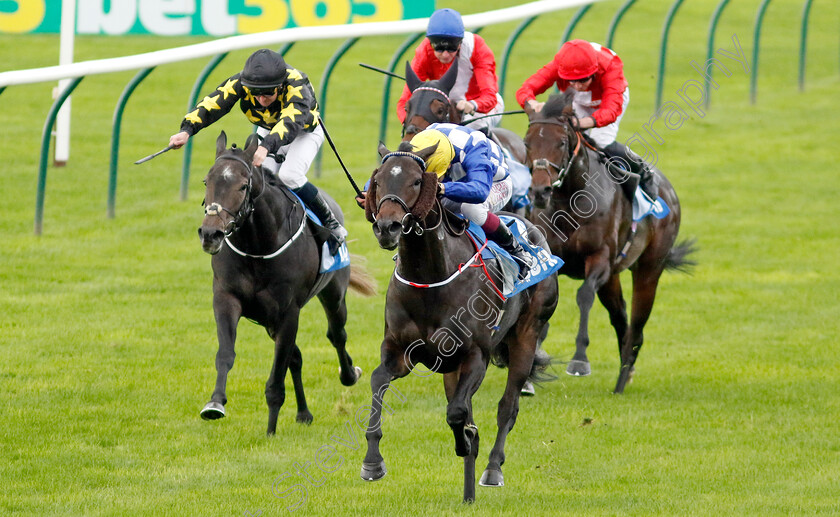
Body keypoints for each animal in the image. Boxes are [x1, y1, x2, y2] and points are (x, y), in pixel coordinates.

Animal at [199, 131, 376, 434]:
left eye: (243, 186)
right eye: (206, 182)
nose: (211, 234)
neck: (258, 245)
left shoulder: (288, 312)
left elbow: (276, 376)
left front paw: (270, 430)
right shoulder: (226, 299)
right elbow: (226, 353)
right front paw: (215, 403)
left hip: (333, 294)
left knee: (336, 335)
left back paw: (349, 374)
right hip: (269, 320)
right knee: (297, 356)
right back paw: (304, 413)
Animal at [360, 140, 556, 500]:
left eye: (416, 181)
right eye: (377, 180)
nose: (386, 227)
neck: (430, 279)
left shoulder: (475, 355)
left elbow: (457, 413)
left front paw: (467, 442)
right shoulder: (399, 352)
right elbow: (378, 381)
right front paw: (372, 462)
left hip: (526, 335)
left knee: (508, 406)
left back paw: (492, 468)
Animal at [524, 91, 696, 392]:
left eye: (560, 142)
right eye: (527, 143)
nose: (539, 192)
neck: (569, 200)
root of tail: (670, 192)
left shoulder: (600, 258)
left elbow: (583, 296)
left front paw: (579, 360)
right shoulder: (552, 259)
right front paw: (533, 365)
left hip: (649, 268)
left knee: (637, 324)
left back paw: (622, 377)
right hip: (613, 278)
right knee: (621, 316)